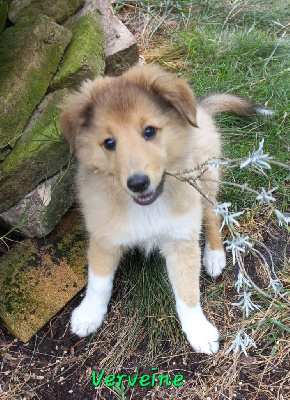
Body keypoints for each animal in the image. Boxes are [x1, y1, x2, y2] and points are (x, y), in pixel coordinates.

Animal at [60, 65, 262, 354]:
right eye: (109, 143)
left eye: (149, 131)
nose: (138, 183)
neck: (146, 208)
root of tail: (199, 109)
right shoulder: (103, 237)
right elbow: (98, 281)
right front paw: (89, 314)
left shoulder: (181, 239)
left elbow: (188, 292)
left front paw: (199, 331)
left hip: (205, 179)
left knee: (212, 216)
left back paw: (214, 256)